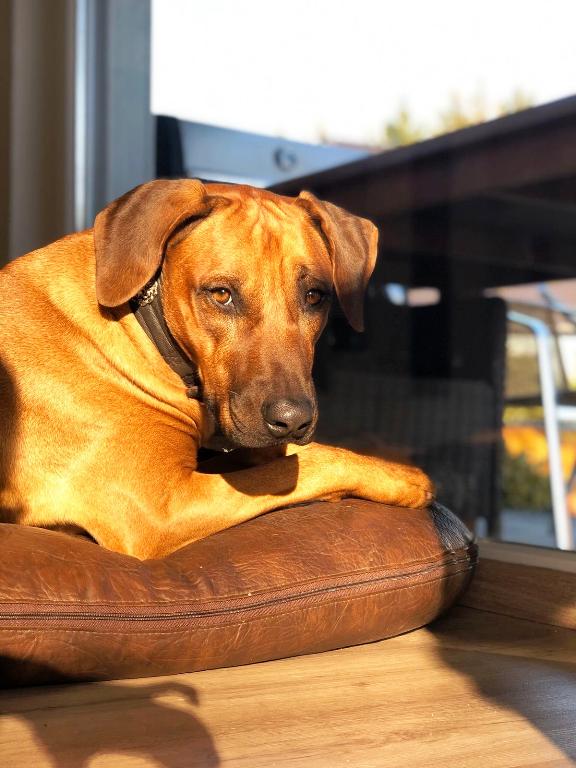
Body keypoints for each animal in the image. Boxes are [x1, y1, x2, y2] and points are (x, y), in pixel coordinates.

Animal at [0, 180, 433, 559]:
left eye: (315, 296)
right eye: (221, 294)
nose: (293, 419)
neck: (141, 330)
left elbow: (284, 453)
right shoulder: (159, 510)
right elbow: (300, 464)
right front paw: (401, 478)